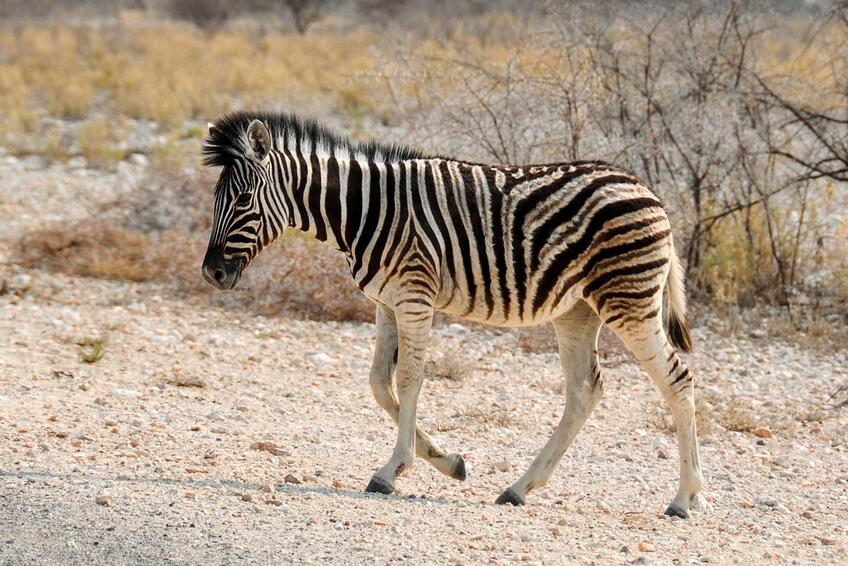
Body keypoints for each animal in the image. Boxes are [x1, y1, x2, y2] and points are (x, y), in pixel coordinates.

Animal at [200, 110, 708, 520]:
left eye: (242, 200)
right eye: (215, 200)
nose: (211, 272)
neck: (365, 212)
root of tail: (649, 192)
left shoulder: (413, 296)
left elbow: (409, 379)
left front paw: (392, 470)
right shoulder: (385, 302)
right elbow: (379, 383)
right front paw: (447, 462)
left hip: (629, 301)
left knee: (677, 380)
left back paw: (685, 499)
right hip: (577, 311)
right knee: (584, 390)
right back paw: (520, 488)